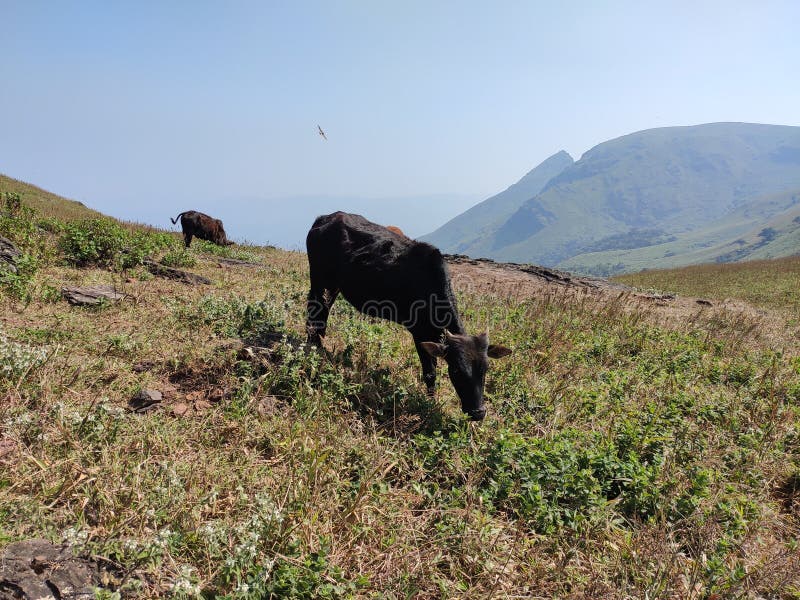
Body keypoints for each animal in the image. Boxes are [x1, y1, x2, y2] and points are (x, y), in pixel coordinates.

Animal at [304, 213, 510, 420]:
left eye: (485, 369)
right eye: (456, 370)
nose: (478, 413)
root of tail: (325, 218)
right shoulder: (419, 333)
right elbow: (430, 373)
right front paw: (430, 402)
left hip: (333, 286)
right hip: (319, 279)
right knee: (314, 312)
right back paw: (314, 348)